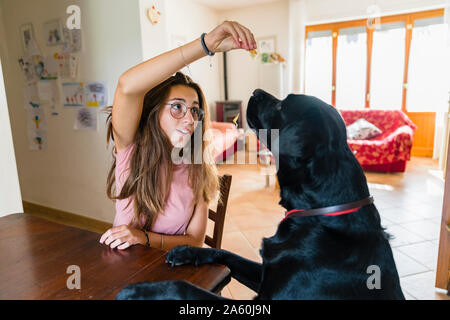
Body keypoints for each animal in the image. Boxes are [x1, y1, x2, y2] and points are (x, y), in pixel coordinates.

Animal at [116, 89, 404, 298]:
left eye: (281, 107)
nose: (254, 91)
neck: (321, 215)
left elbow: (185, 287)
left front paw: (139, 289)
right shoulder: (265, 271)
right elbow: (226, 254)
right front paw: (187, 251)